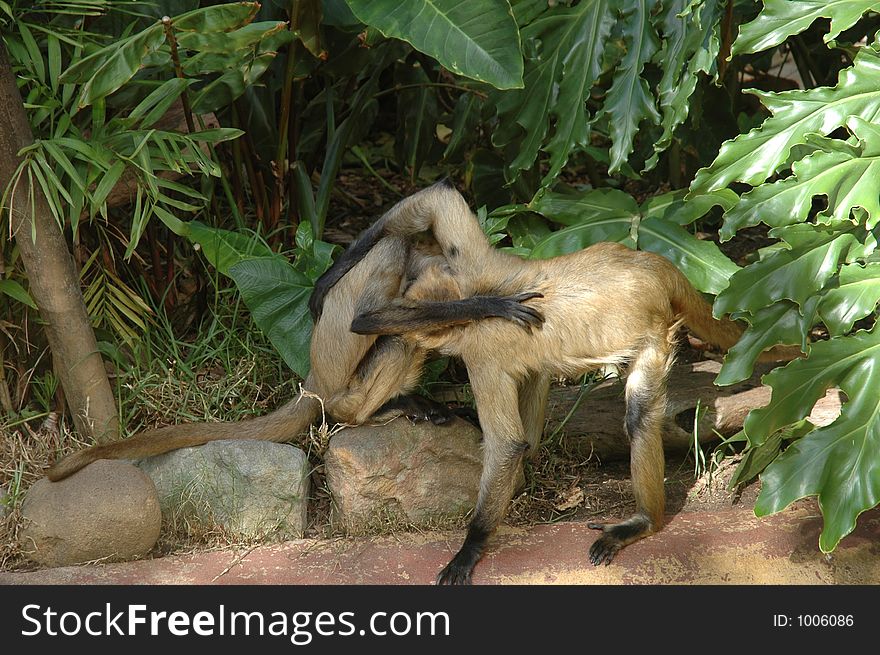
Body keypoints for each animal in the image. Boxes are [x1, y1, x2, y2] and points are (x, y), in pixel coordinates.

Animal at [316, 178, 804, 584]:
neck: (474, 292)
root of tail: (652, 266)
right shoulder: (475, 266)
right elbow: (438, 196)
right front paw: (328, 279)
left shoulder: (480, 350)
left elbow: (509, 443)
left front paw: (471, 545)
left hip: (653, 334)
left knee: (640, 417)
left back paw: (645, 521)